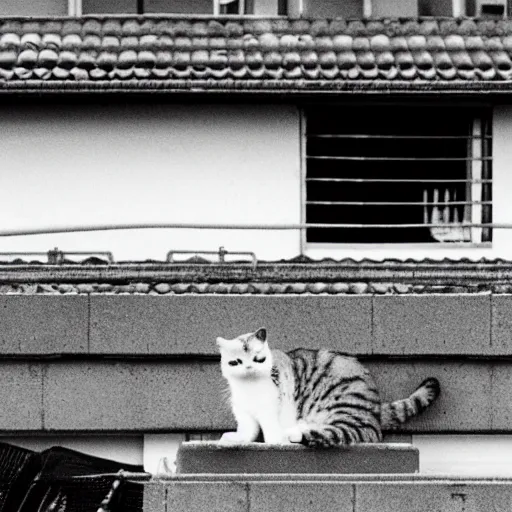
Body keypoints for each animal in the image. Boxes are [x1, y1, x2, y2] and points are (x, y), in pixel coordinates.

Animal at [216, 330, 440, 446]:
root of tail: (376, 409)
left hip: (343, 411)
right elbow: (247, 431)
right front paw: (235, 438)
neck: (249, 388)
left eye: (259, 359)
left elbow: (271, 431)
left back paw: (295, 434)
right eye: (236, 362)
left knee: (342, 433)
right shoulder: (244, 414)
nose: (249, 367)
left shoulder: (270, 410)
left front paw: (274, 441)